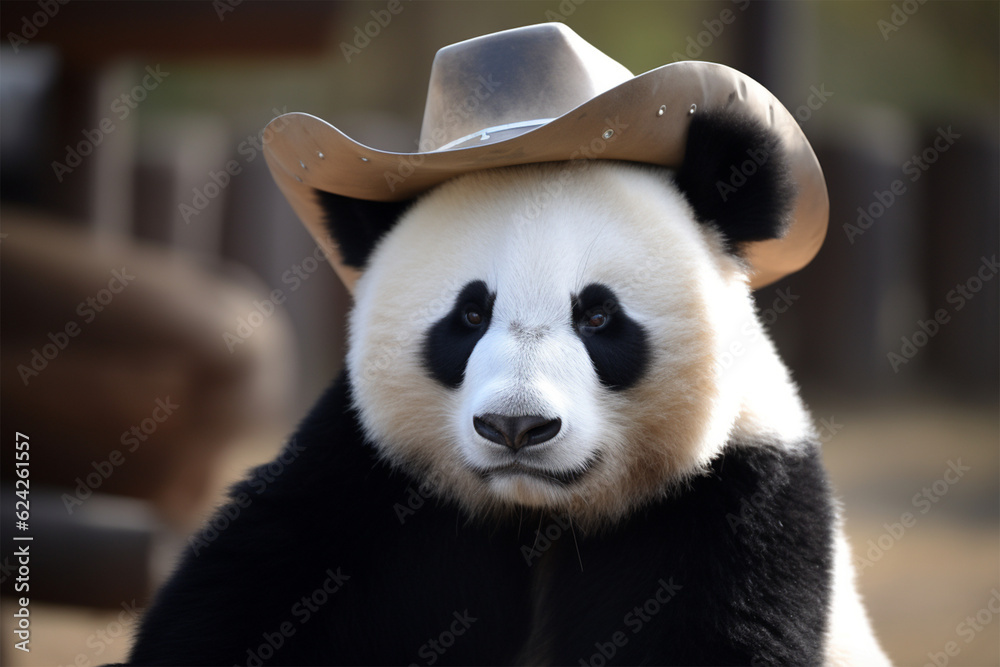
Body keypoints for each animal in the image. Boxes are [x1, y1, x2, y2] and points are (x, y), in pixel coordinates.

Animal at [127, 23, 892, 667]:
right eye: (469, 315)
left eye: (597, 316)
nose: (515, 427)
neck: (536, 514)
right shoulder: (364, 480)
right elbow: (251, 588)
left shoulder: (732, 497)